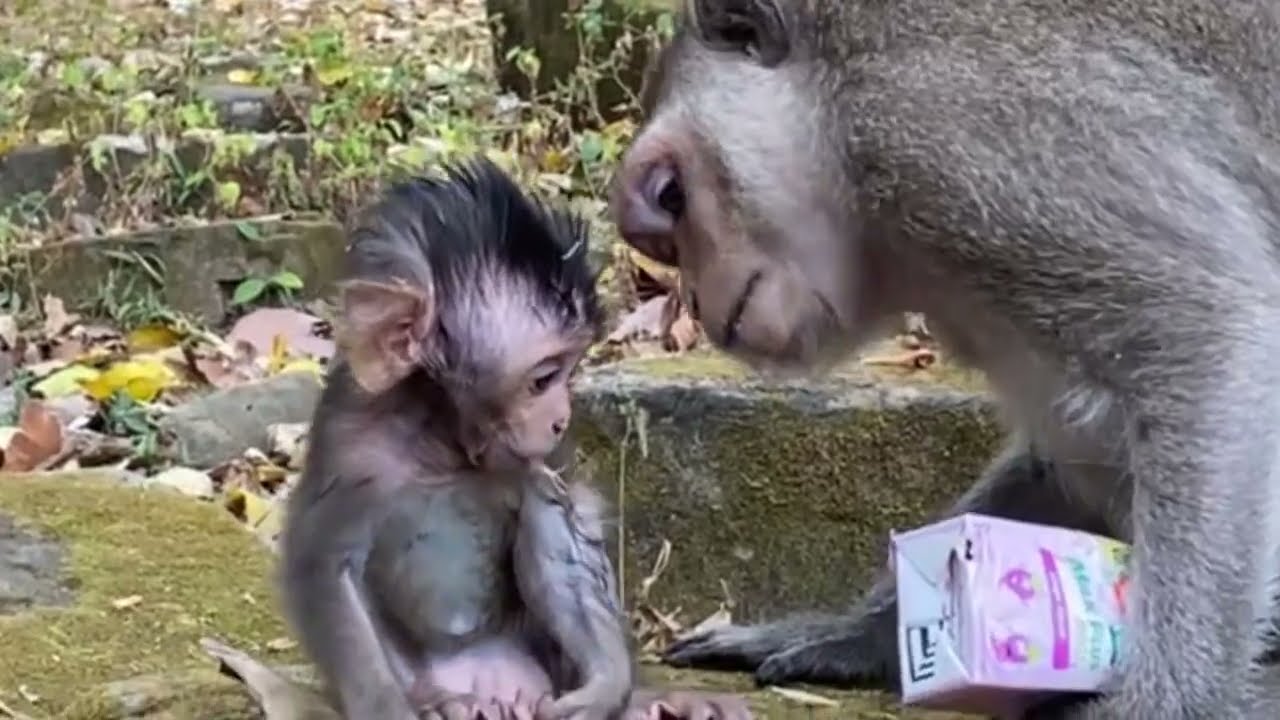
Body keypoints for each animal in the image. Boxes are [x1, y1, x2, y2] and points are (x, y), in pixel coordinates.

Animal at [279, 158, 752, 720]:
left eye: (572, 369)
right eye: (543, 379)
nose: (562, 418)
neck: (440, 443)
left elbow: (557, 540)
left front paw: (603, 689)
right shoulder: (353, 448)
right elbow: (327, 567)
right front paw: (388, 709)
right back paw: (444, 701)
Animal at [609, 0, 1280, 718]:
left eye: (670, 195)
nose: (695, 303)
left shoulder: (959, 140)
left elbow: (1205, 332)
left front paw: (1164, 702)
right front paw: (863, 632)